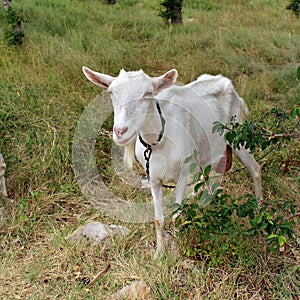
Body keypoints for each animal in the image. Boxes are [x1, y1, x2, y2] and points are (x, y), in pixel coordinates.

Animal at [81, 67, 260, 256]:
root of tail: (228, 84)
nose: (120, 131)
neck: (158, 141)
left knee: (255, 169)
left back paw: (258, 208)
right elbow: (158, 219)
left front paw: (176, 251)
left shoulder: (181, 176)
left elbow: (177, 217)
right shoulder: (153, 177)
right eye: (111, 92)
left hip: (238, 135)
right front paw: (158, 254)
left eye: (148, 93)